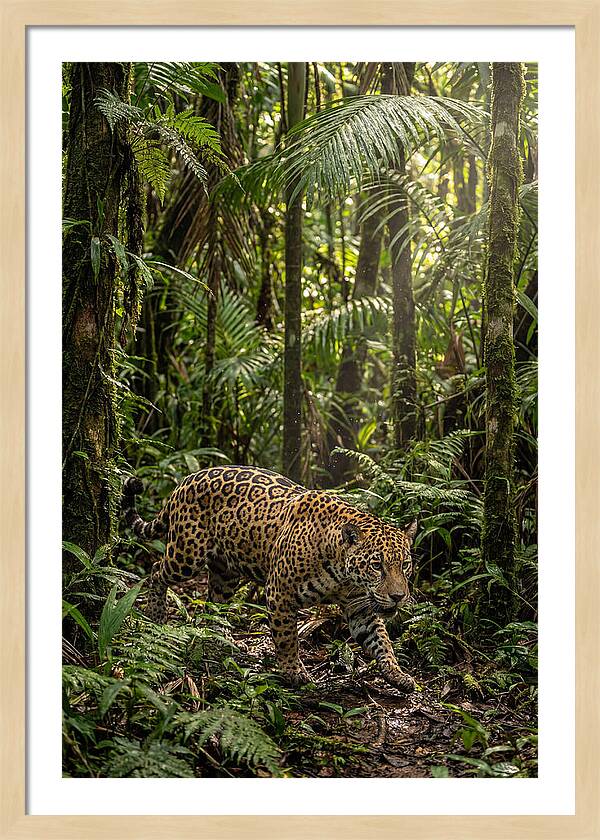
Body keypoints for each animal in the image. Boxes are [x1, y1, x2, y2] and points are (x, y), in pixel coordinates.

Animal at [123, 465, 417, 692]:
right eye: (377, 565)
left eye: (404, 565)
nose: (398, 597)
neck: (343, 574)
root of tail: (186, 480)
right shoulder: (280, 593)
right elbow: (287, 638)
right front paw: (294, 673)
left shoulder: (360, 608)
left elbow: (381, 640)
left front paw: (397, 674)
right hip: (186, 555)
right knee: (156, 570)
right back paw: (156, 614)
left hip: (225, 573)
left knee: (214, 602)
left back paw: (222, 638)